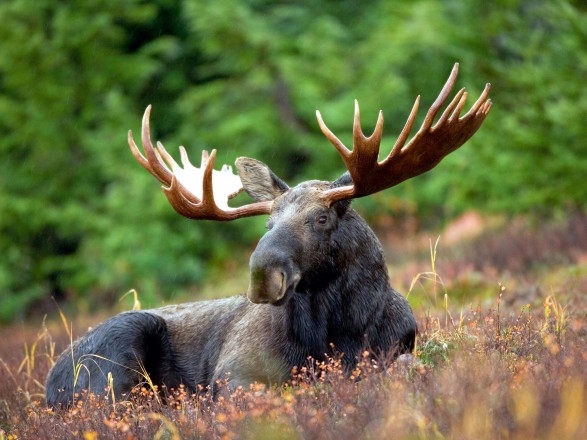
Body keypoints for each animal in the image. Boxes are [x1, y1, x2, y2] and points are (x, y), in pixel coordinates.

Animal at [44, 63, 492, 408]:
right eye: (268, 224)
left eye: (321, 218)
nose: (262, 275)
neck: (340, 333)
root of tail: (49, 384)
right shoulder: (233, 374)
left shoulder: (398, 349)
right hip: (118, 354)